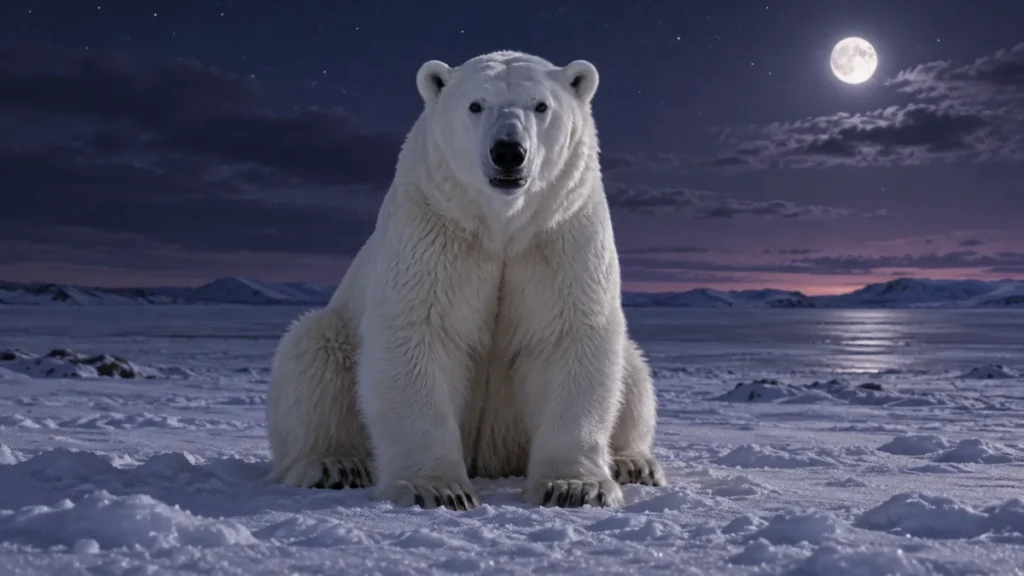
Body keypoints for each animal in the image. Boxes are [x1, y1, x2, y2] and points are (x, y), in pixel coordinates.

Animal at [266, 50, 665, 510]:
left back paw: (634, 463)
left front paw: (575, 487)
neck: (501, 223)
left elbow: (570, 336)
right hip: (335, 336)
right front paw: (436, 488)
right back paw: (333, 464)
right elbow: (418, 333)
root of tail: (489, 458)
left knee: (633, 371)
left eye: (541, 105)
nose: (508, 151)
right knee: (313, 353)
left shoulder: (560, 232)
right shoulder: (436, 227)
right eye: (476, 105)